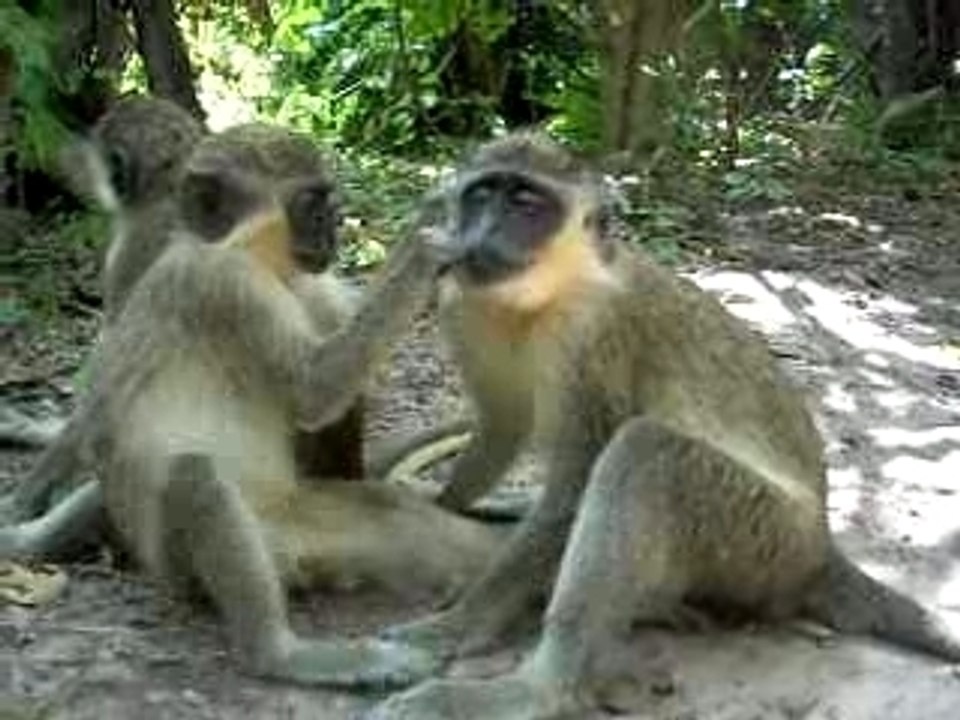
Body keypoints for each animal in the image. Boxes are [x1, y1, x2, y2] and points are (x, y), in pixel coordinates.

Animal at [2, 124, 503, 687]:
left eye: (328, 201)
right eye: (312, 202)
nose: (335, 229)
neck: (252, 256)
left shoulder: (312, 289)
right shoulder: (227, 287)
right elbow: (314, 391)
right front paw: (422, 245)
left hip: (331, 520)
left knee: (414, 527)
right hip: (187, 565)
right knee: (194, 474)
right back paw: (279, 653)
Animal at [342, 133, 960, 719]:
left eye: (526, 203)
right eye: (482, 195)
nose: (485, 233)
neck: (544, 295)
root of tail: (820, 548)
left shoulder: (596, 336)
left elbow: (573, 489)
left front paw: (455, 626)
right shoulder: (462, 301)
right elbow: (503, 424)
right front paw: (442, 504)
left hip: (763, 542)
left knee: (646, 452)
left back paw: (537, 691)